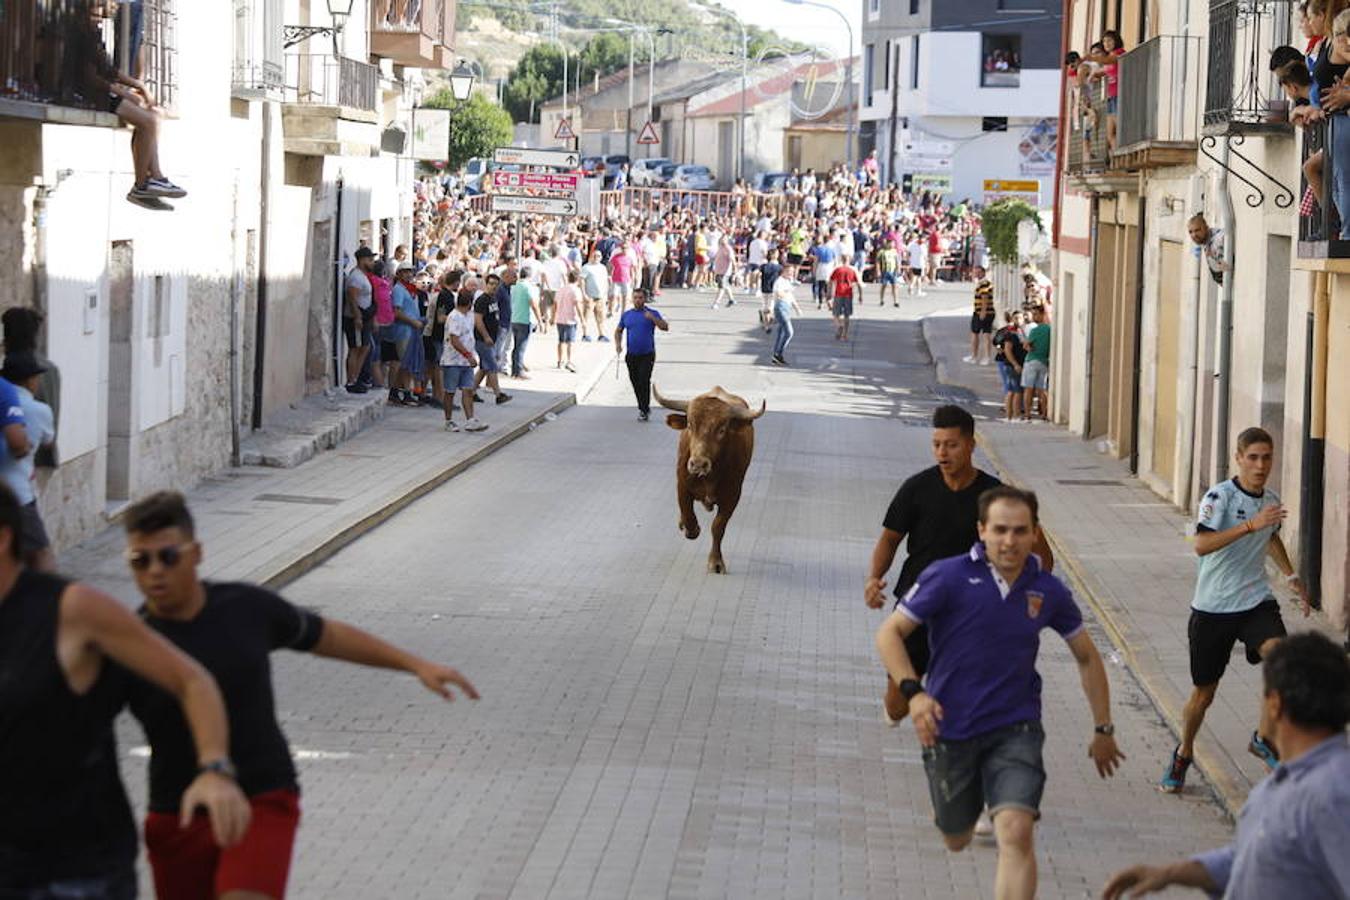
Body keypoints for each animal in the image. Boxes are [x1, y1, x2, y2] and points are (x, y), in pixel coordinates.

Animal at [656, 383, 772, 574]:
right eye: (690, 425)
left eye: (722, 430)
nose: (698, 464)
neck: (709, 477)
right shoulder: (682, 486)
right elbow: (688, 514)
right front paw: (692, 529)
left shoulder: (732, 496)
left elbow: (718, 527)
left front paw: (716, 562)